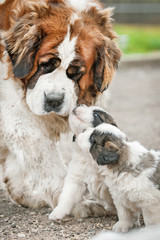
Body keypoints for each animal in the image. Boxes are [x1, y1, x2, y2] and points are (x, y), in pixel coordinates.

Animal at [0, 0, 120, 216]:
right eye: (45, 65)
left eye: (75, 73)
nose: (54, 100)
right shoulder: (23, 124)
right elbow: (53, 168)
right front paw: (79, 204)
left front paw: (27, 196)